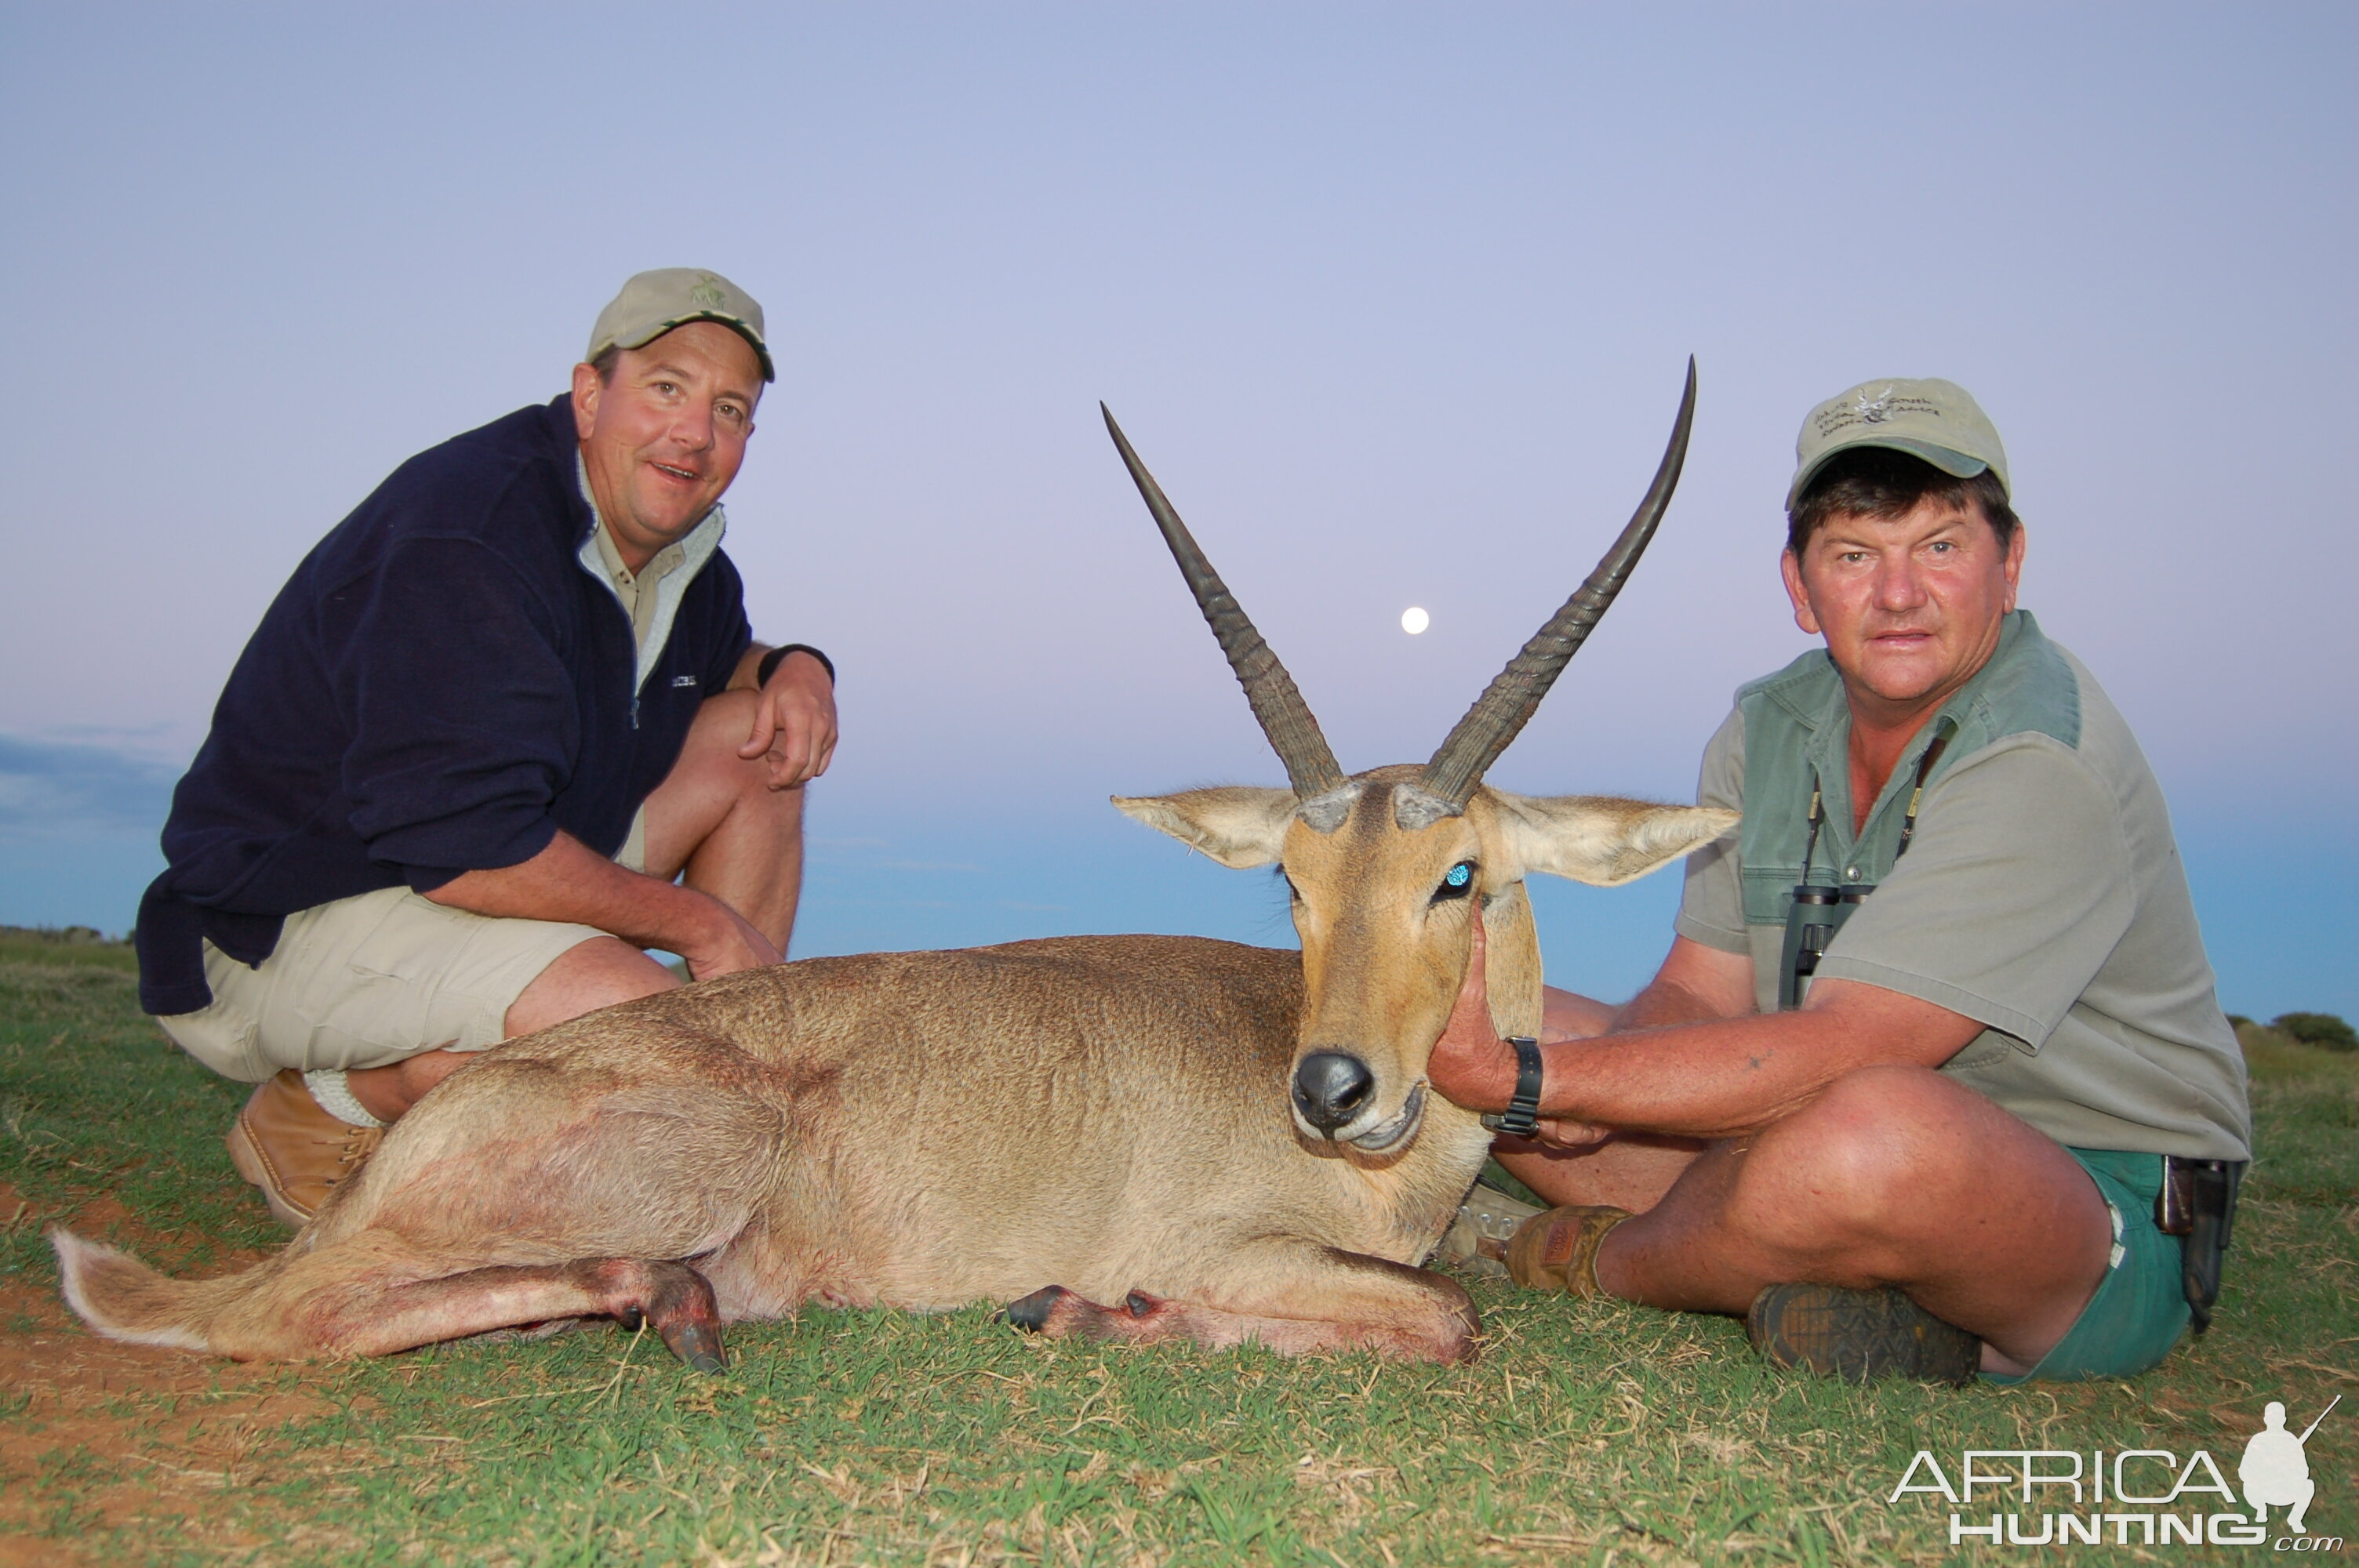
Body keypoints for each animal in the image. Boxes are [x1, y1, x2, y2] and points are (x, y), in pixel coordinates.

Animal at [50, 361, 1717, 1367]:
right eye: (1289, 889)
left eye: (1457, 875)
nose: (1332, 1092)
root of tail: (408, 1151)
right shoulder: (1227, 1243)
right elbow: (1442, 1315)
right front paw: (1083, 1308)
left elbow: (1470, 1279)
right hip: (689, 1147)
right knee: (280, 1317)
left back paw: (664, 1304)